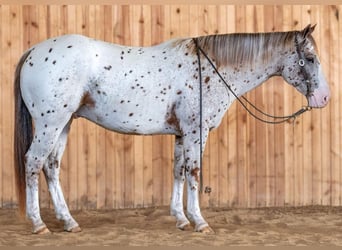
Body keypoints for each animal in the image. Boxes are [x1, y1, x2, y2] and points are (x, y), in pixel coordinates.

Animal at [12, 24, 328, 233]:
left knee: (51, 166)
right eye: (310, 59)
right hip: (50, 124)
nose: (324, 98)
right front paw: (200, 222)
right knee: (33, 163)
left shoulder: (180, 134)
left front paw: (181, 218)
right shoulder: (196, 132)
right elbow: (194, 172)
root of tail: (33, 51)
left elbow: (178, 171)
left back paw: (69, 222)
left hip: (63, 123)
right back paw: (38, 224)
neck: (211, 69)